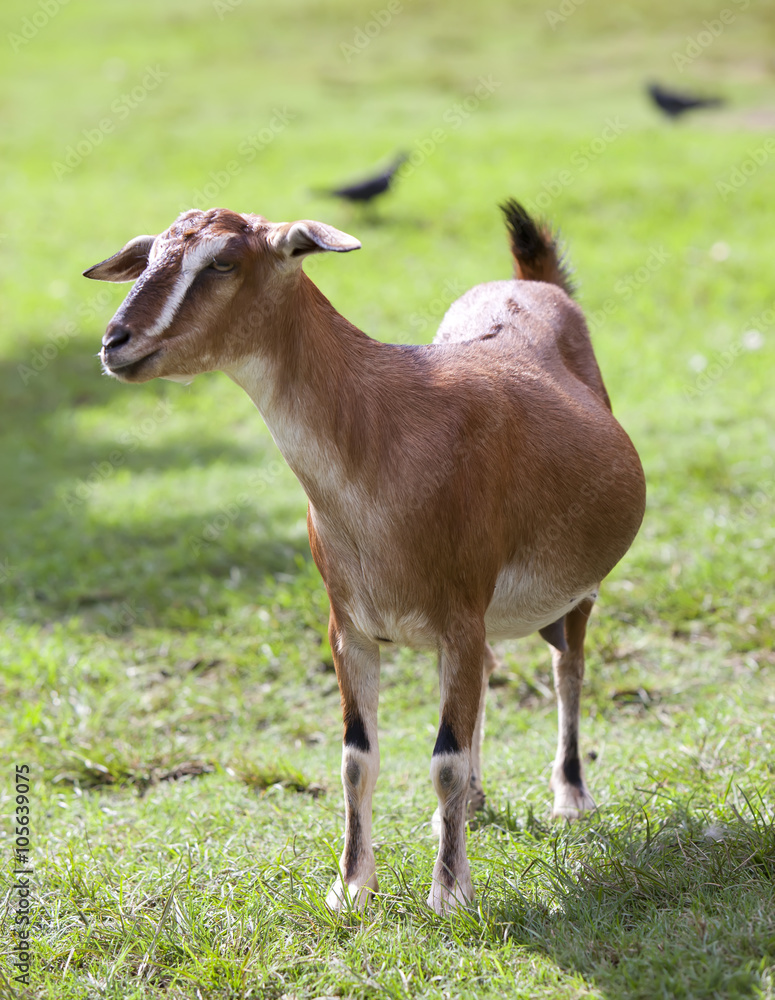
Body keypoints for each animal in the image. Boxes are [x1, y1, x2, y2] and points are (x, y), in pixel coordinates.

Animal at [84, 199, 646, 915]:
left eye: (223, 262)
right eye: (149, 254)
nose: (116, 341)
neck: (387, 432)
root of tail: (533, 280)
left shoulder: (459, 613)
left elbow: (443, 760)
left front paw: (449, 893)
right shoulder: (349, 624)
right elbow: (358, 757)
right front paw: (352, 887)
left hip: (576, 590)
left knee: (567, 667)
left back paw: (570, 796)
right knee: (492, 678)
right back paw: (480, 799)